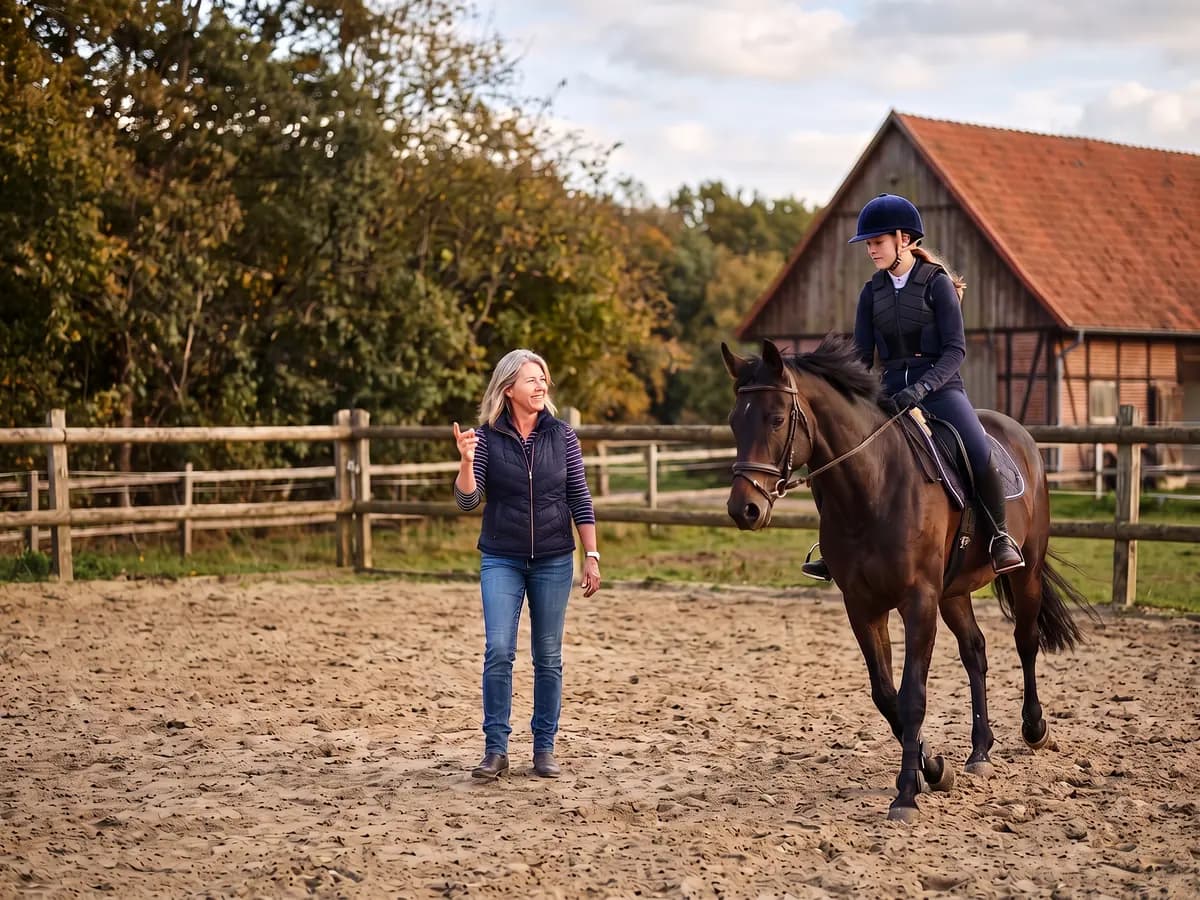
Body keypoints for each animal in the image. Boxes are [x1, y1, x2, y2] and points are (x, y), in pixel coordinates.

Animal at [721, 334, 1093, 823]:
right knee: (975, 651)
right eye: (733, 422)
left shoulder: (918, 601)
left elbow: (912, 693)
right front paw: (933, 768)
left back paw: (1035, 728)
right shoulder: (862, 606)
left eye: (777, 418)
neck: (872, 486)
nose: (743, 509)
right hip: (953, 592)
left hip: (1024, 571)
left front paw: (906, 793)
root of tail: (1021, 436)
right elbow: (886, 695)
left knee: (1025, 640)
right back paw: (980, 752)